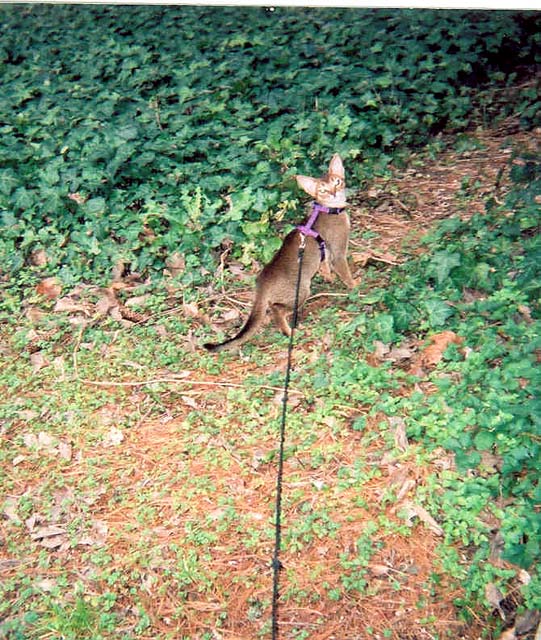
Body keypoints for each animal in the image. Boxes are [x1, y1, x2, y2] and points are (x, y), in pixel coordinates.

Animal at [202, 156, 354, 356]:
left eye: (337, 181)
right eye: (323, 190)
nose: (334, 193)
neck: (328, 209)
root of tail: (262, 282)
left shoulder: (325, 252)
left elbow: (325, 266)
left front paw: (329, 278)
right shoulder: (338, 252)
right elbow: (345, 273)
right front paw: (356, 287)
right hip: (301, 291)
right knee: (276, 309)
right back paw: (288, 331)